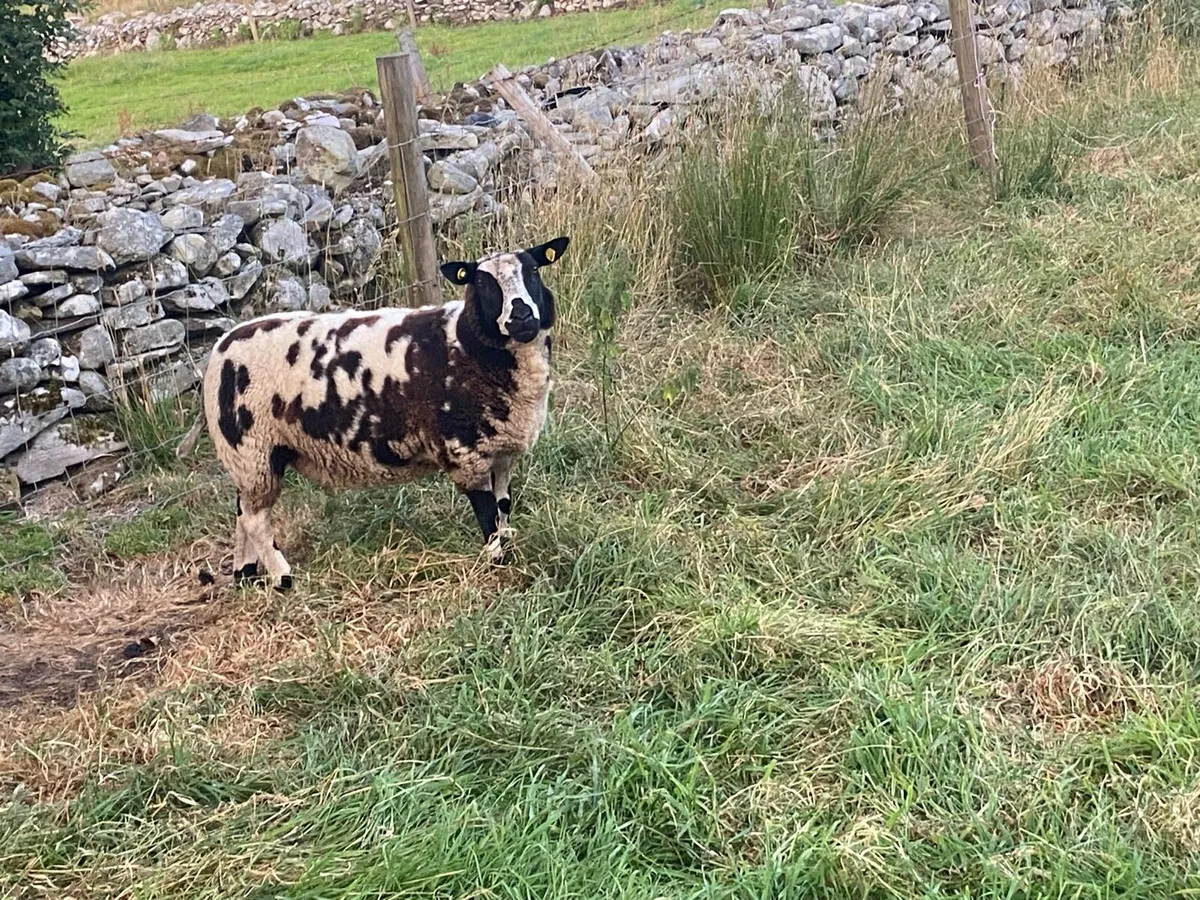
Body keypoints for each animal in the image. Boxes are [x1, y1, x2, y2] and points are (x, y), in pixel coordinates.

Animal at [177, 236, 570, 589]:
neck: (469, 345)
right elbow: (488, 513)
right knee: (256, 518)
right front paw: (497, 559)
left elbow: (503, 504)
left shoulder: (501, 452)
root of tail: (218, 350)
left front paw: (509, 541)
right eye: (483, 283)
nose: (521, 316)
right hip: (252, 448)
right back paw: (282, 577)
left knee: (243, 510)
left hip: (253, 457)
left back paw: (245, 574)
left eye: (533, 270)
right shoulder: (465, 451)